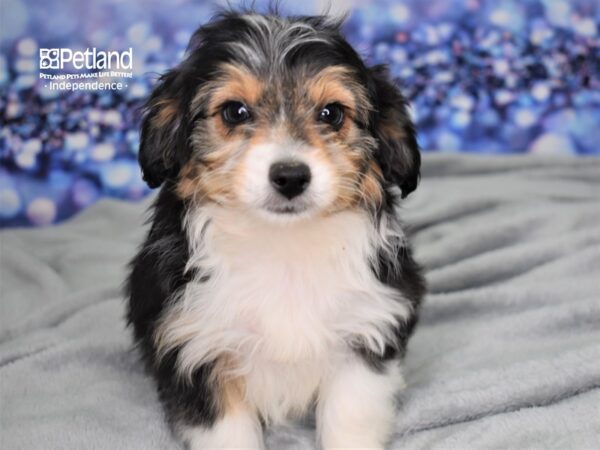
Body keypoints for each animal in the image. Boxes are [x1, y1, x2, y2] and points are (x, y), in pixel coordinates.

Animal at [127, 10, 426, 450]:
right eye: (234, 112)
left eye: (332, 113)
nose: (290, 176)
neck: (281, 244)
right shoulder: (195, 349)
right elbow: (228, 435)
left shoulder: (366, 331)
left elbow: (349, 417)